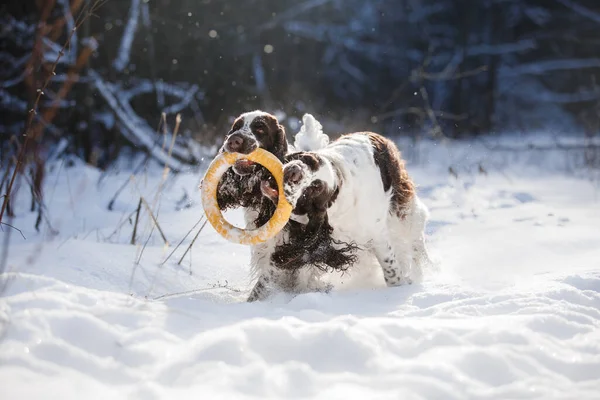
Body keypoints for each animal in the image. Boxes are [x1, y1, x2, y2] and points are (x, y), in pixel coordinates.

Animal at [255, 131, 434, 300]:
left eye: (315, 188)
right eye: (306, 160)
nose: (294, 171)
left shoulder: (377, 234)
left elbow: (392, 271)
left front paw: (400, 287)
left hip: (402, 211)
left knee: (416, 237)